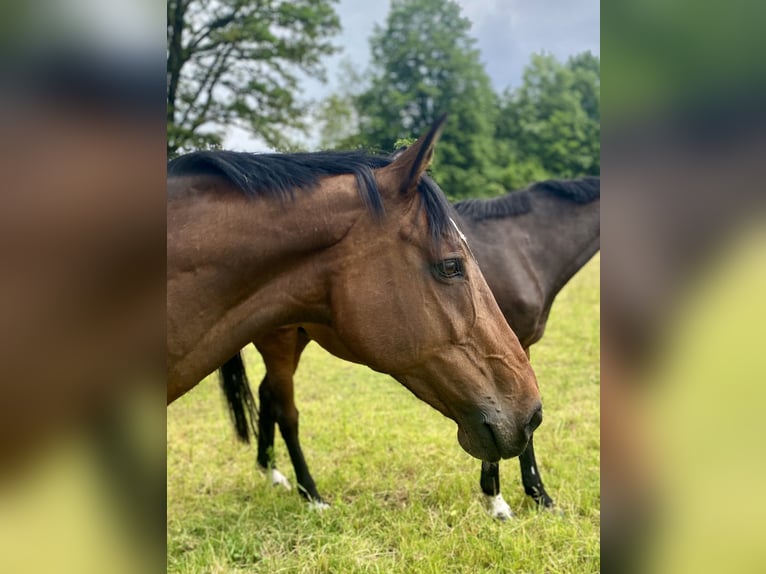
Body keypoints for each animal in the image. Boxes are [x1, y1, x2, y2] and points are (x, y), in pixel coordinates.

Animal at [220, 176, 600, 516]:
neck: (521, 246)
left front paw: (534, 497)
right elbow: (515, 426)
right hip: (279, 341)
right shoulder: (508, 355)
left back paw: (271, 471)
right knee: (286, 411)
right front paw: (505, 501)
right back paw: (311, 495)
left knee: (267, 394)